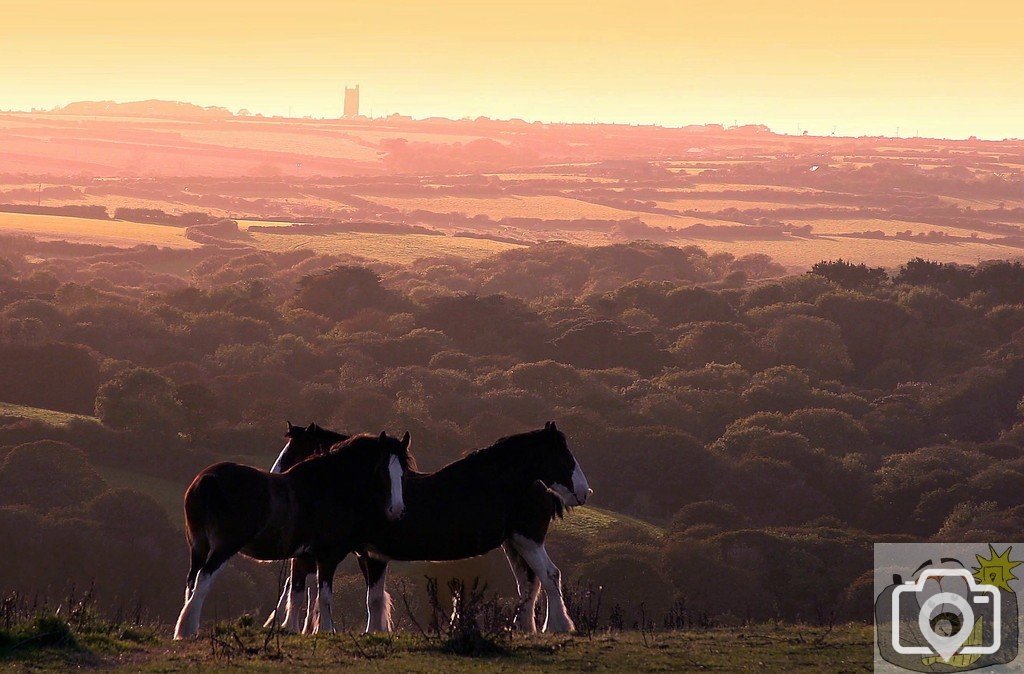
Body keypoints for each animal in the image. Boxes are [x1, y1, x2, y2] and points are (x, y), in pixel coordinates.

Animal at [354, 422, 593, 630]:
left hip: (528, 539)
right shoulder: (369, 555)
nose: (583, 492)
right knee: (529, 583)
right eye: (563, 455)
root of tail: (542, 489)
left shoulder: (373, 556)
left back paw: (557, 626)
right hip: (515, 542)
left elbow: (374, 599)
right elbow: (374, 598)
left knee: (549, 575)